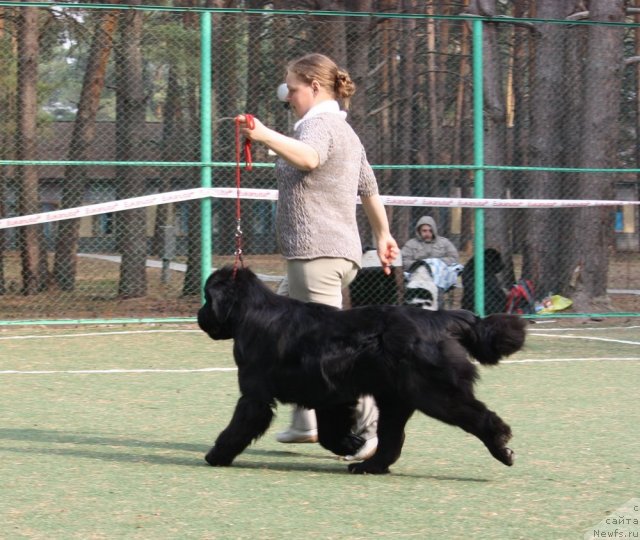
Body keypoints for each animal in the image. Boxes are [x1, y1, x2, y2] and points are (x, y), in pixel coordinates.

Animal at [199, 264, 524, 472]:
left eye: (207, 297)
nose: (200, 316)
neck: (250, 312)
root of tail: (440, 318)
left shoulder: (255, 396)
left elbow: (238, 426)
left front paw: (216, 454)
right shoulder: (331, 397)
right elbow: (329, 433)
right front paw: (352, 443)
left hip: (435, 392)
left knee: (481, 417)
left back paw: (502, 447)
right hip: (395, 399)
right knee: (392, 440)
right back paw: (370, 465)